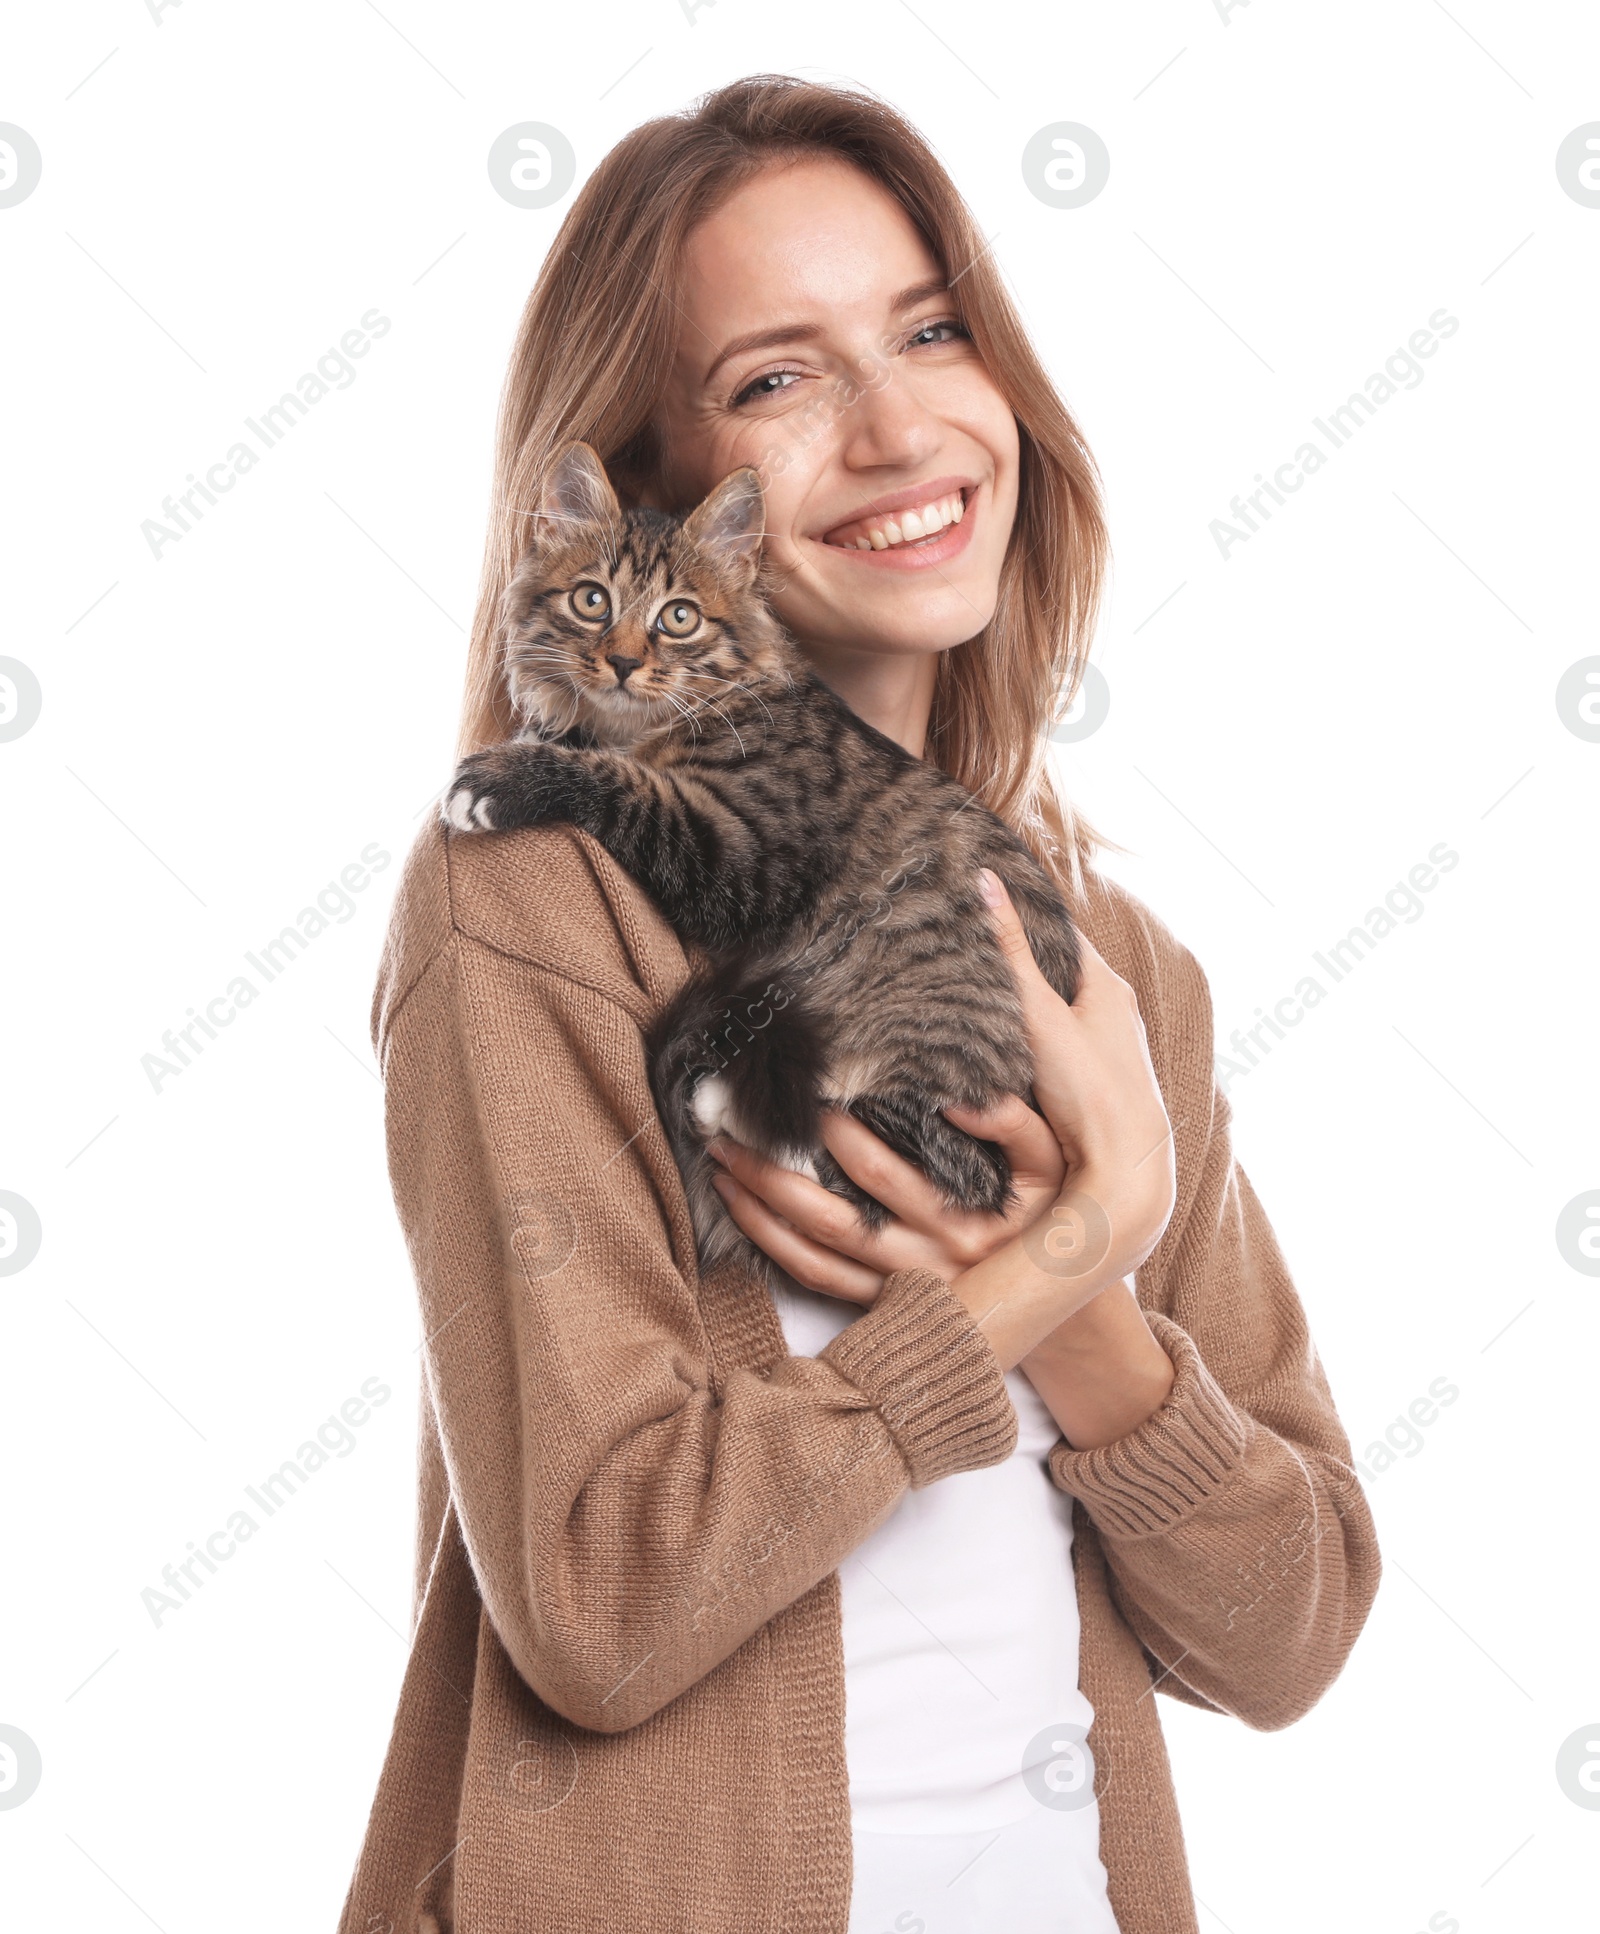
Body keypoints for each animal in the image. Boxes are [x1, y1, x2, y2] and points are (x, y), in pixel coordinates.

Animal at [444, 439, 1083, 1284]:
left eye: (679, 618)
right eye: (591, 602)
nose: (621, 663)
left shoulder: (741, 850)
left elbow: (622, 785)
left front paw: (499, 779)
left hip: (920, 1025)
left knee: (904, 1162)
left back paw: (726, 1103)